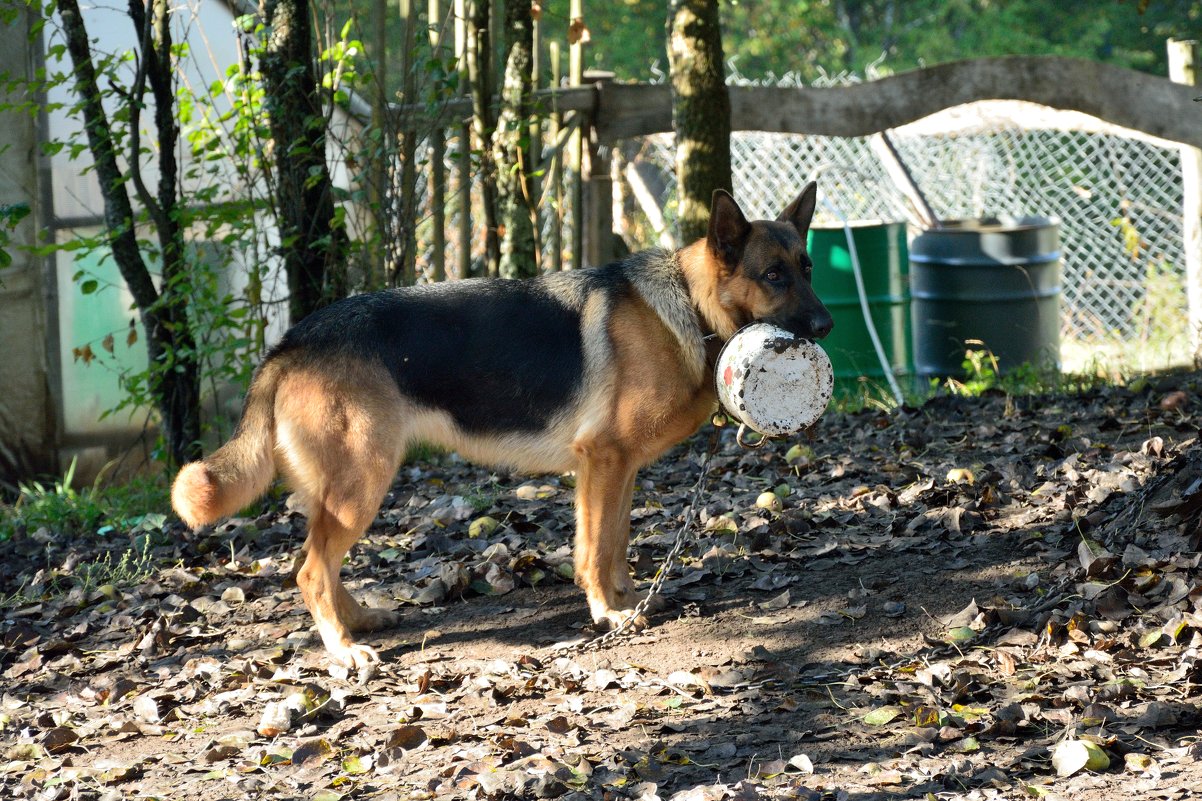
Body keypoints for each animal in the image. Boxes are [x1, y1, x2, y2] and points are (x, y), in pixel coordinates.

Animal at [174, 184, 831, 663]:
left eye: (808, 267)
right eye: (774, 275)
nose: (826, 326)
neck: (691, 306)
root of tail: (293, 339)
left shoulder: (620, 470)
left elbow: (617, 542)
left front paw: (628, 598)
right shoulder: (603, 462)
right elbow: (595, 547)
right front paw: (607, 613)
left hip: (343, 489)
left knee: (318, 564)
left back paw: (359, 618)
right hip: (363, 482)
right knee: (310, 569)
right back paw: (344, 651)